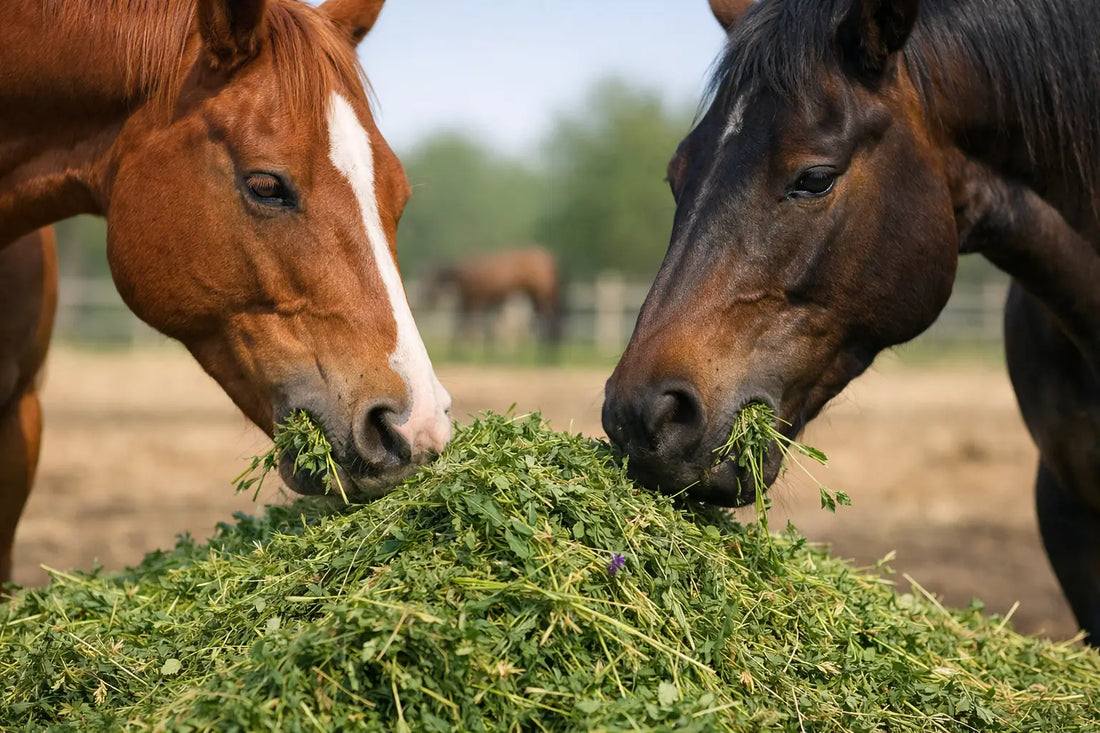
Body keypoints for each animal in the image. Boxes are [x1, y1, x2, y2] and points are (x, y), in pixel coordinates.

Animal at [421, 246, 564, 352]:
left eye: (431, 284)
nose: (424, 302)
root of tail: (547, 257)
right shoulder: (474, 301)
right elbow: (468, 324)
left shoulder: (476, 300)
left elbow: (469, 323)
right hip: (534, 297)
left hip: (542, 295)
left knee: (548, 319)